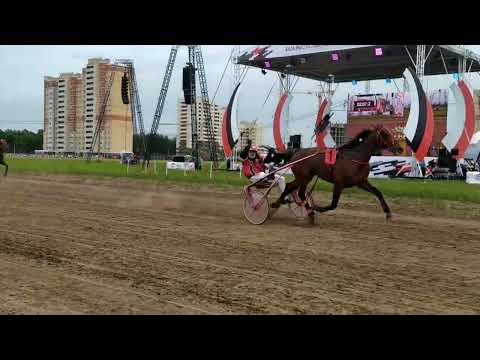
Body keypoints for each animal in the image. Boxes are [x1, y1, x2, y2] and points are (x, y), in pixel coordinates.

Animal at [270, 126, 402, 222]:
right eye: (385, 134)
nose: (399, 148)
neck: (355, 157)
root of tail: (296, 152)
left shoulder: (361, 182)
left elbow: (377, 192)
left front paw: (388, 213)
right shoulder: (339, 183)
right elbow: (333, 204)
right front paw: (317, 207)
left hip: (307, 177)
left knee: (296, 190)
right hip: (303, 176)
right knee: (293, 189)